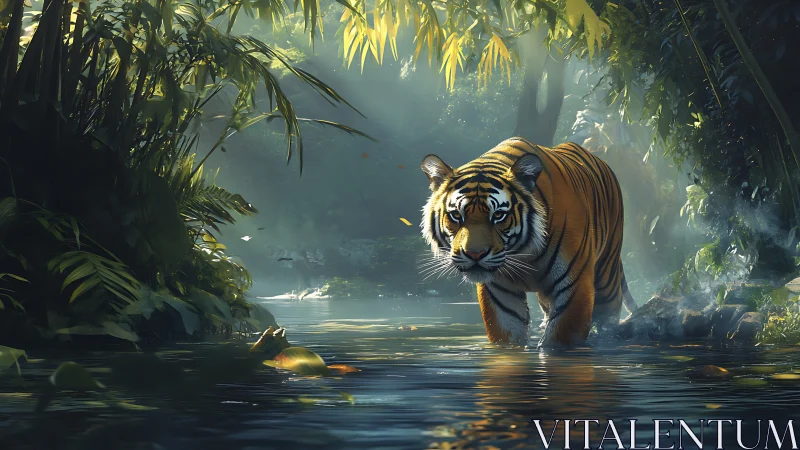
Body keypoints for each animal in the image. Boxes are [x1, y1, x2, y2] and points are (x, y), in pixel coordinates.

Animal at [420, 137, 638, 348]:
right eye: (456, 215)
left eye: (498, 216)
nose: (474, 254)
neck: (523, 253)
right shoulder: (500, 294)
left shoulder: (573, 285)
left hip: (607, 278)